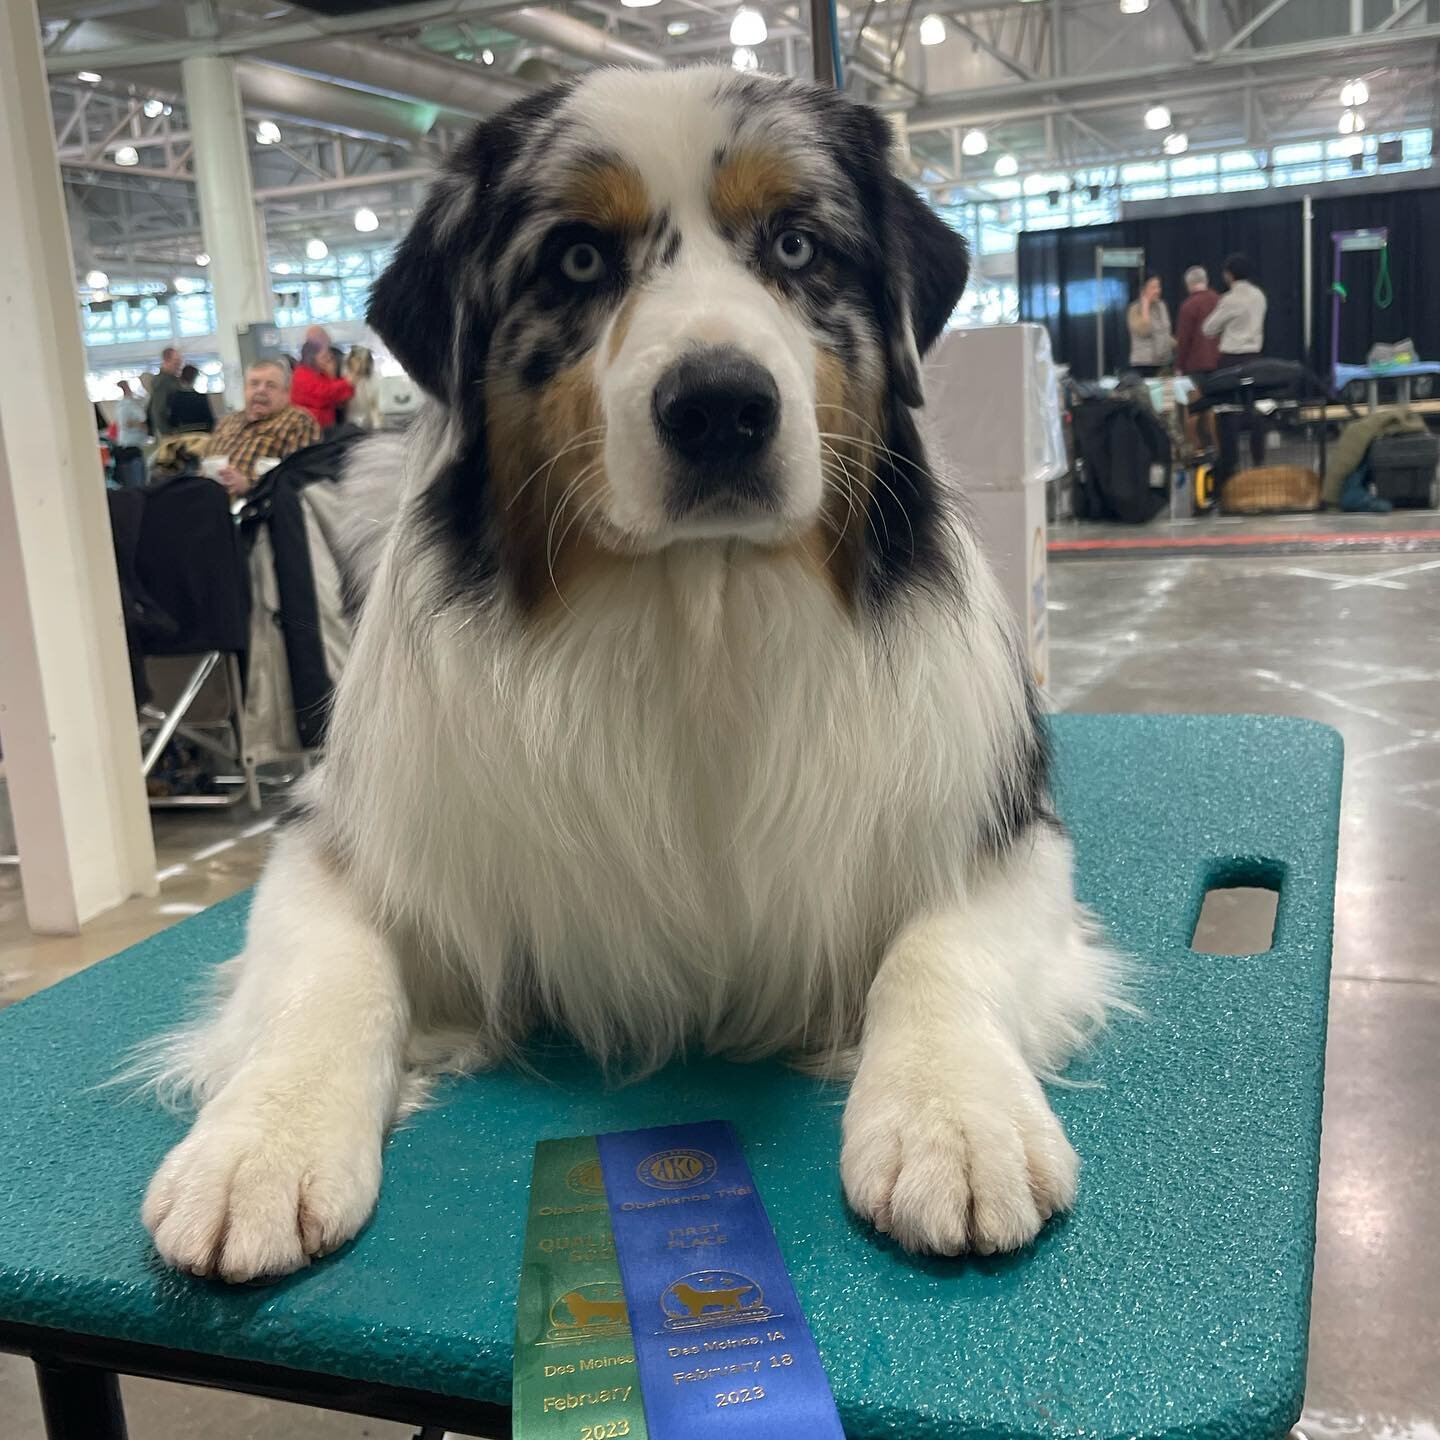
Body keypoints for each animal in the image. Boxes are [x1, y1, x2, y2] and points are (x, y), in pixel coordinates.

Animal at [137, 64, 1123, 1284]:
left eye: (796, 246)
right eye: (575, 259)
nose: (720, 408)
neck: (694, 617)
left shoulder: (1003, 833)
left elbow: (936, 953)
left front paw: (954, 1118)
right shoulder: (344, 835)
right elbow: (328, 974)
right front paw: (259, 1145)